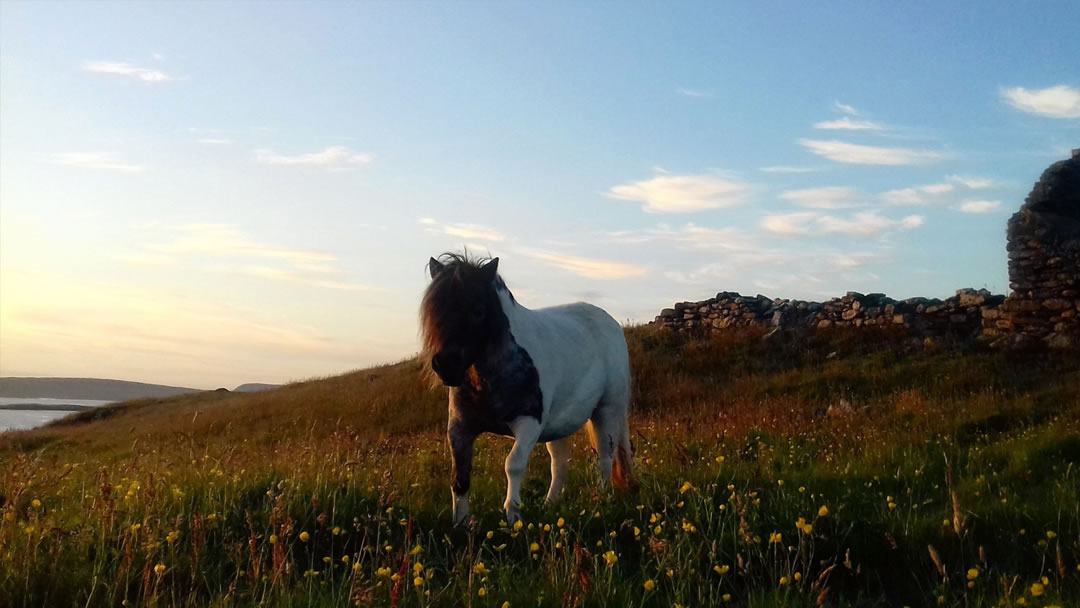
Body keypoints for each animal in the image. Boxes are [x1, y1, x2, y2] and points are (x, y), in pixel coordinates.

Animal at [419, 254, 630, 524]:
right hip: (560, 424)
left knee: (605, 456)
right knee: (560, 464)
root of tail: (611, 322)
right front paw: (461, 524)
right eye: (435, 308)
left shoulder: (528, 424)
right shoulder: (460, 428)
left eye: (478, 310)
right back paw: (550, 505)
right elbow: (460, 477)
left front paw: (513, 517)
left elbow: (514, 465)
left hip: (607, 410)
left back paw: (600, 501)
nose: (447, 365)